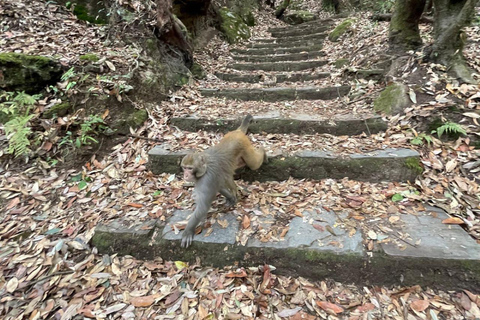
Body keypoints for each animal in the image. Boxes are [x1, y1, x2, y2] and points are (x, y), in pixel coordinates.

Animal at [180, 114, 268, 248]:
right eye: (184, 167)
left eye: (190, 168)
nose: (185, 175)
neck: (204, 168)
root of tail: (237, 132)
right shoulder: (211, 179)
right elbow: (219, 185)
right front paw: (231, 198)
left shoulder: (206, 180)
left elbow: (203, 207)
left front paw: (188, 231)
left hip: (245, 146)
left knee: (254, 164)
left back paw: (263, 151)